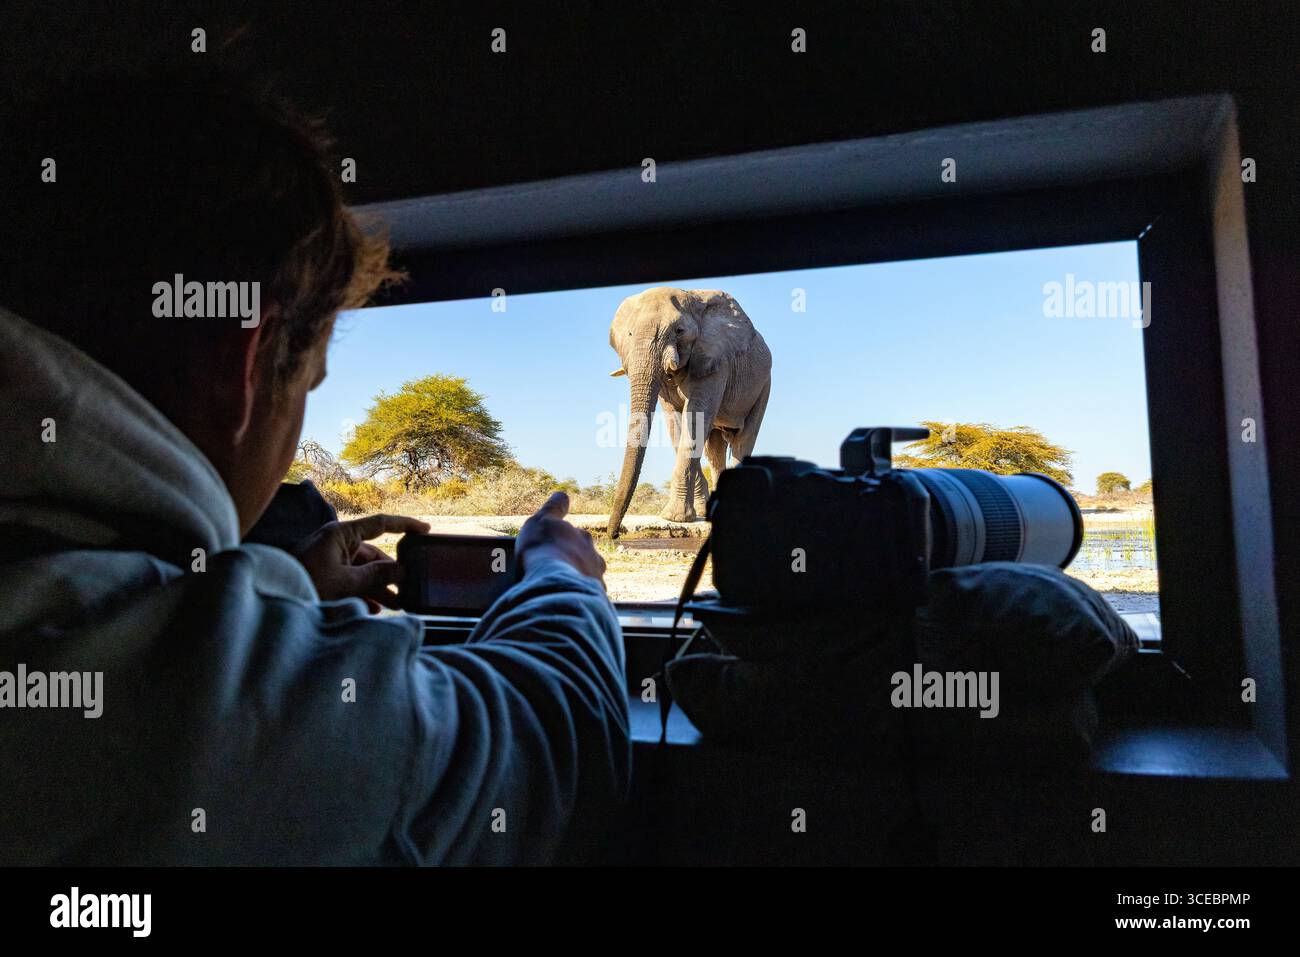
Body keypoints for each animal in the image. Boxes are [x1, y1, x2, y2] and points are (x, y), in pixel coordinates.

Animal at [606, 286, 772, 537]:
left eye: (679, 331)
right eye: (630, 334)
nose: (613, 535)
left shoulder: (715, 360)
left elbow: (695, 418)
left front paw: (673, 517)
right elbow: (675, 422)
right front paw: (695, 513)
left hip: (763, 386)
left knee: (743, 440)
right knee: (714, 449)